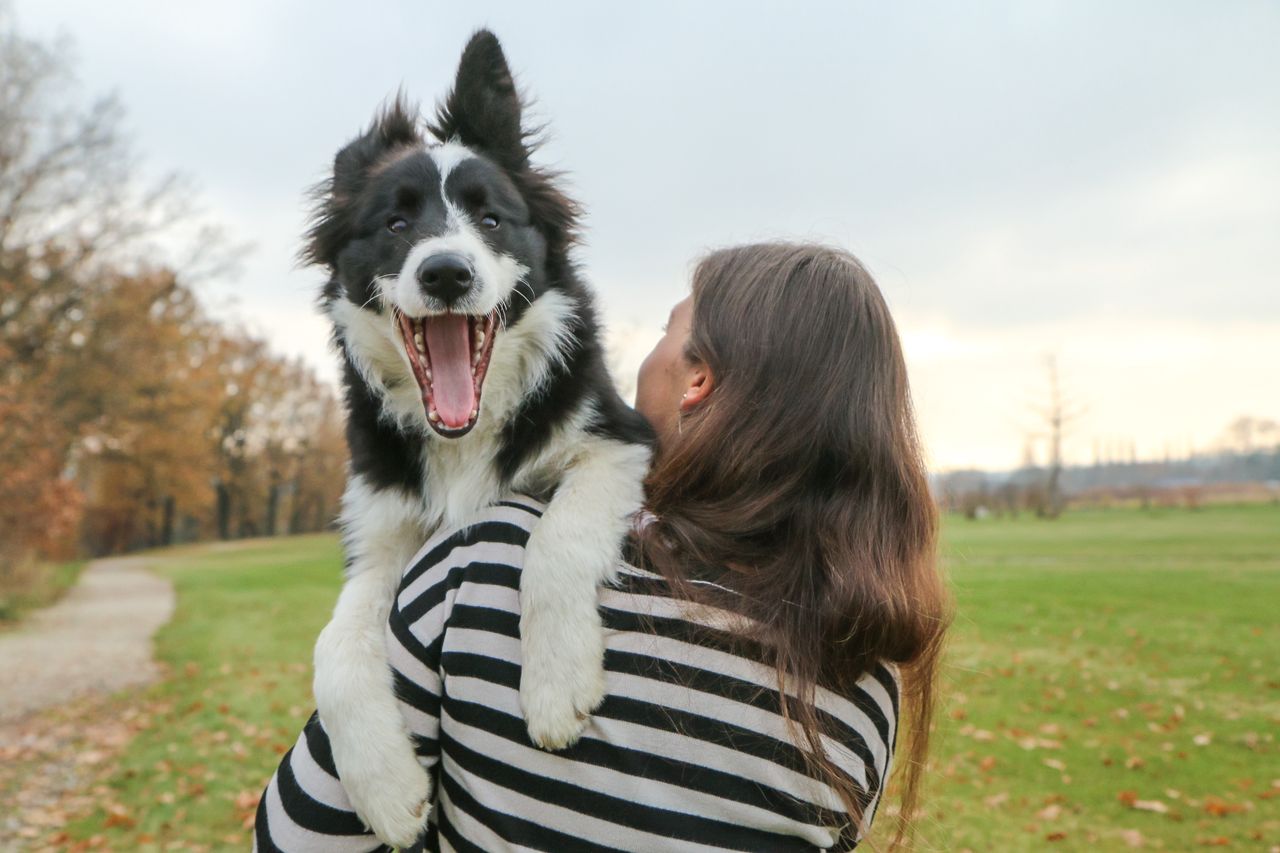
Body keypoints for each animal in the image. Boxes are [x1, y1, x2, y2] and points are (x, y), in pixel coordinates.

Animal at [307, 29, 650, 840]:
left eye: (491, 219)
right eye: (396, 223)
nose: (446, 274)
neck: (462, 435)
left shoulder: (618, 440)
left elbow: (559, 538)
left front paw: (557, 684)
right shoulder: (384, 528)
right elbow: (332, 644)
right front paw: (386, 790)